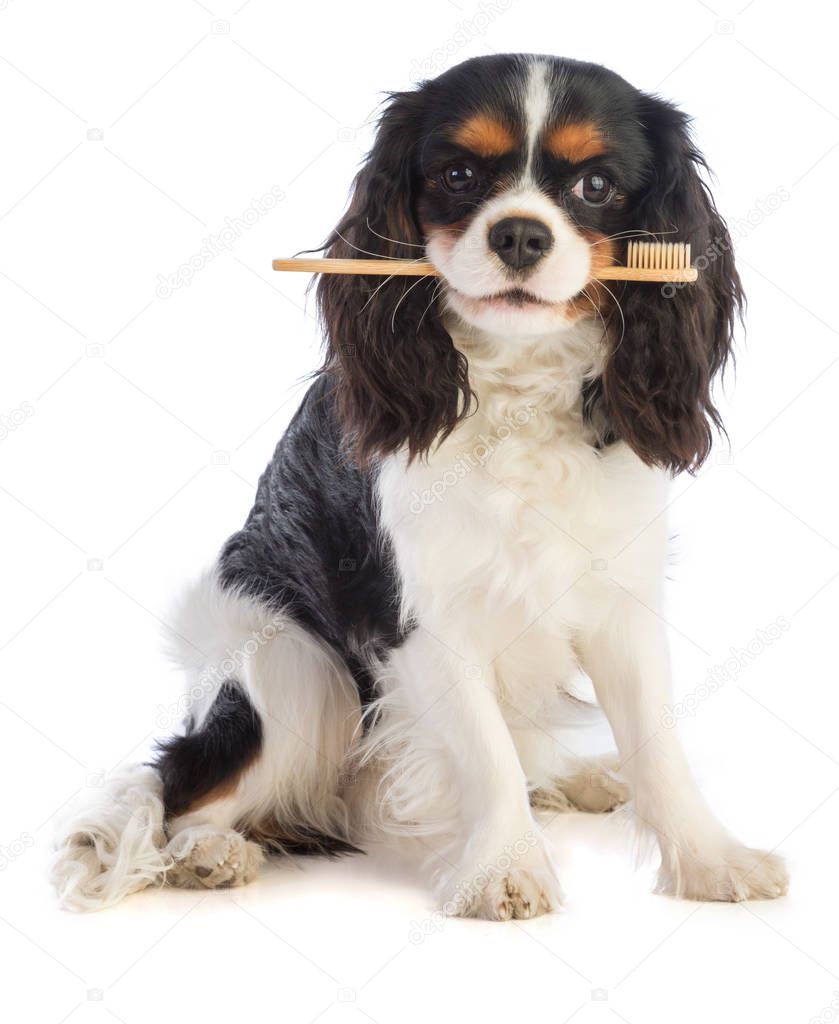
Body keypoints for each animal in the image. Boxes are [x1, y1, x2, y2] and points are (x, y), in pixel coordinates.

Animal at [52, 54, 786, 921]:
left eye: (596, 186)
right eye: (458, 175)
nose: (519, 232)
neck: (515, 385)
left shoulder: (620, 599)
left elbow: (655, 744)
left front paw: (709, 859)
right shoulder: (419, 618)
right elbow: (485, 752)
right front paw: (504, 868)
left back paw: (569, 777)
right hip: (294, 667)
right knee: (179, 787)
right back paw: (209, 854)